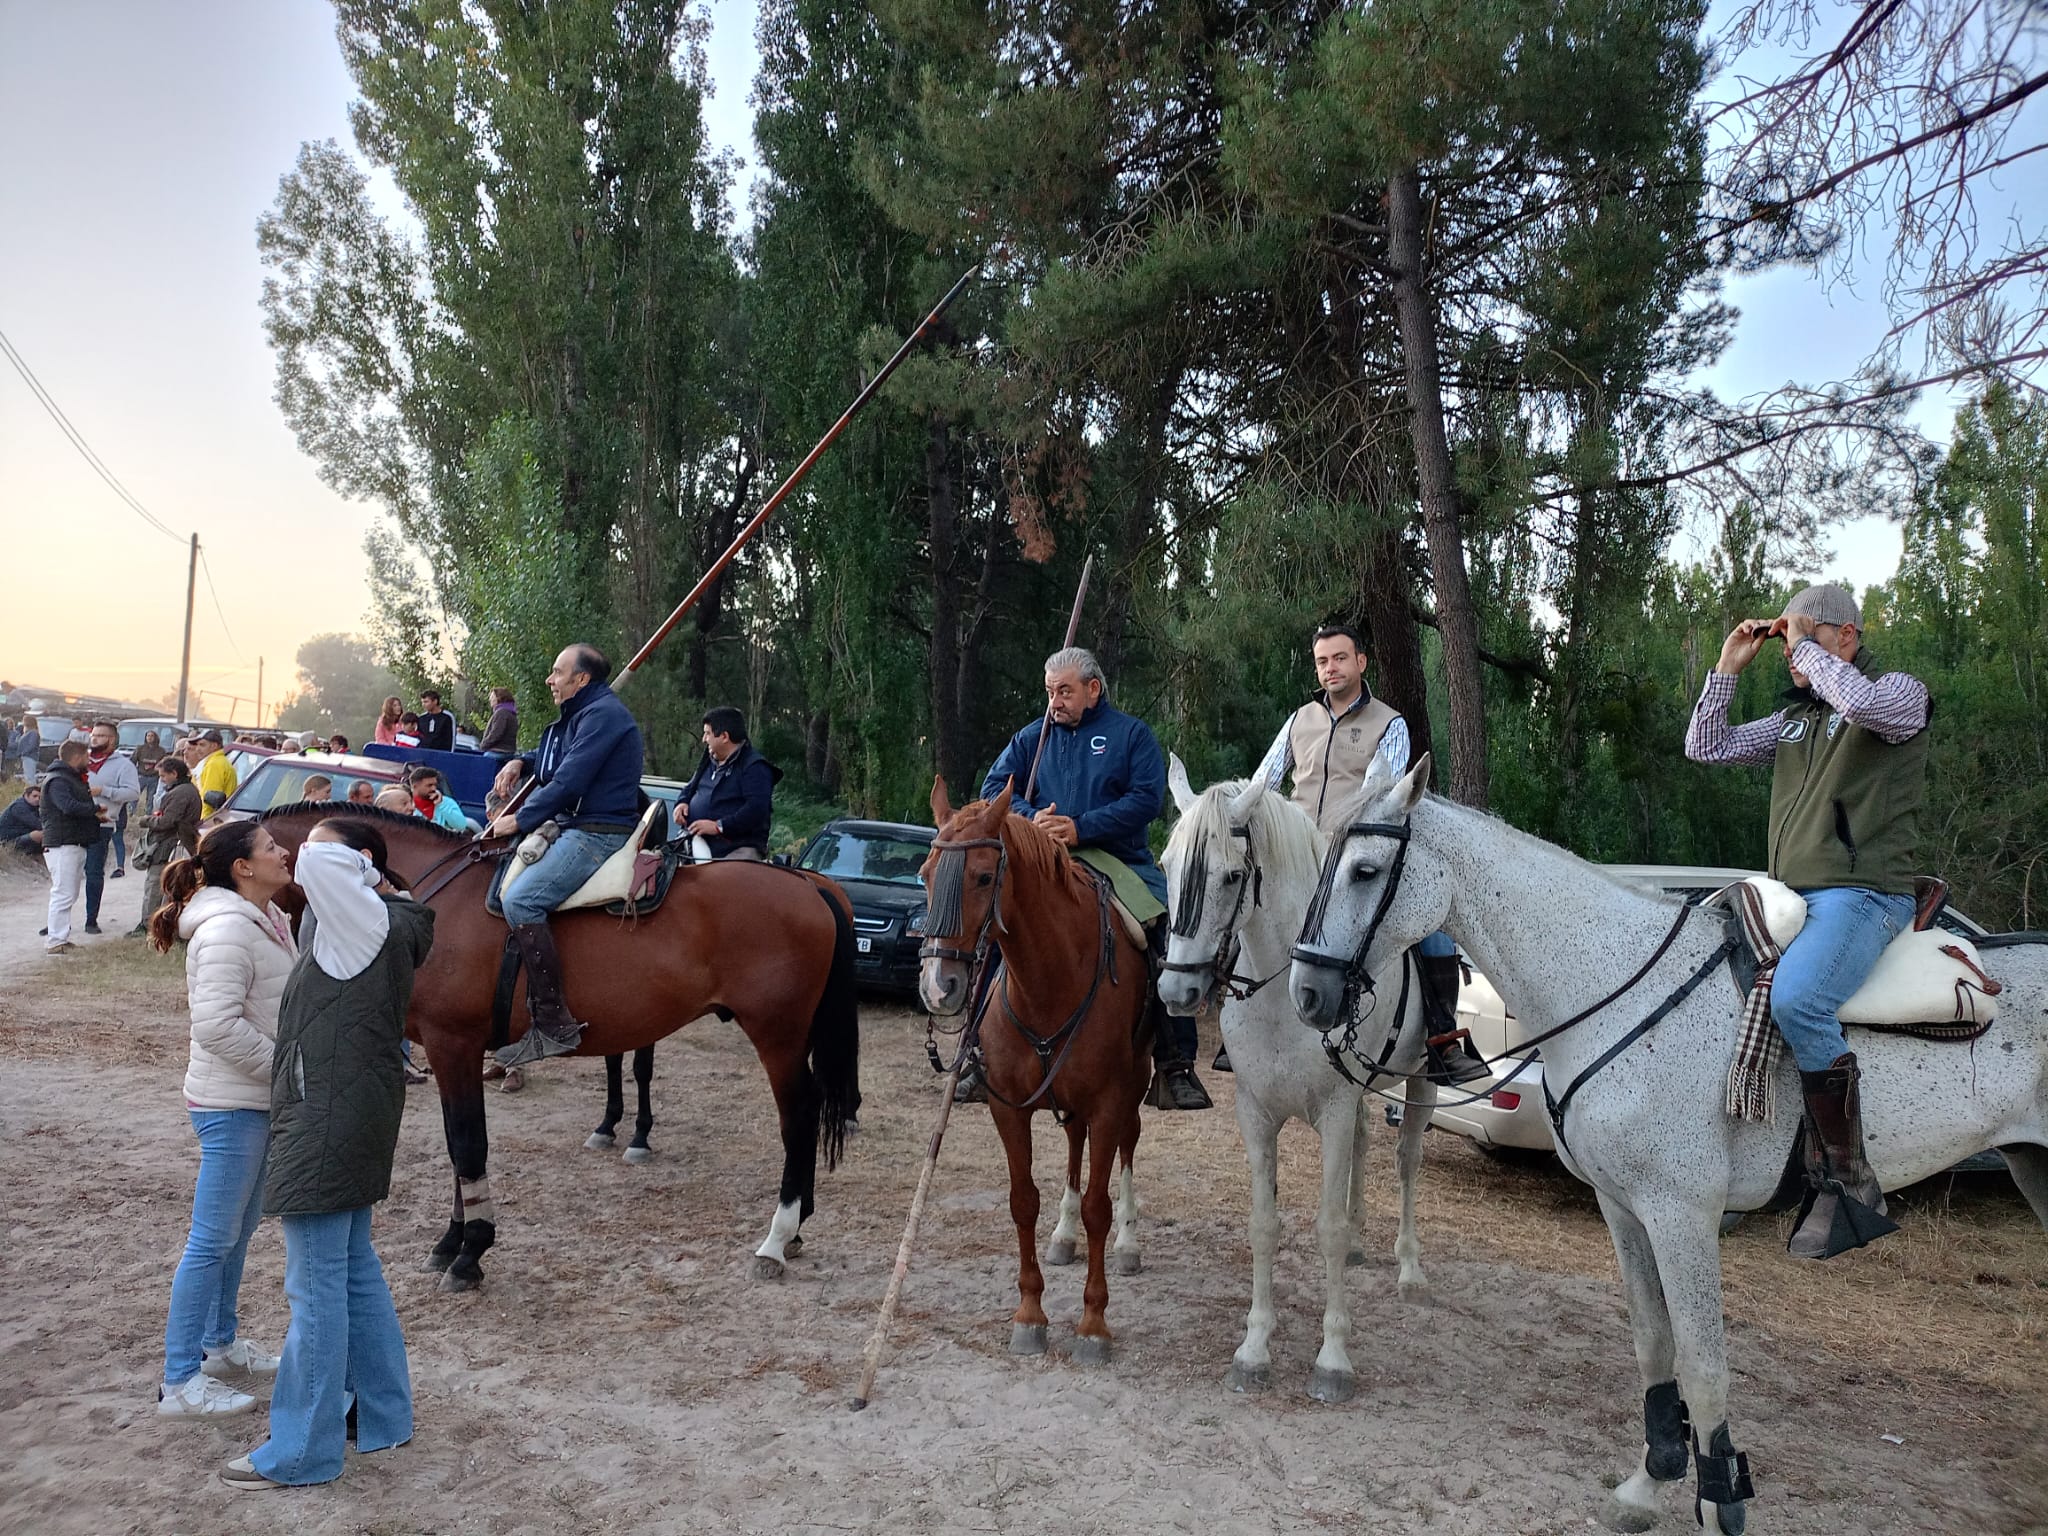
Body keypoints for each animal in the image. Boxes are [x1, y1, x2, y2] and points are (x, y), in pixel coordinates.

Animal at [260, 811, 860, 1294]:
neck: (435, 899)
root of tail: (808, 884)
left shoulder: (453, 1044)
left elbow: (468, 1145)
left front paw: (471, 1252)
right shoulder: (453, 1052)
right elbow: (458, 1147)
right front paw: (452, 1240)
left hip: (778, 1035)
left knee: (798, 1117)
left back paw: (776, 1239)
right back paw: (798, 1226)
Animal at [921, 786, 1163, 1368]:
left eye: (984, 876)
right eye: (924, 873)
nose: (939, 986)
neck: (1050, 981)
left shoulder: (1109, 1102)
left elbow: (1100, 1205)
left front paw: (1094, 1324)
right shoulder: (1007, 1107)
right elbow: (1022, 1200)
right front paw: (1029, 1315)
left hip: (1134, 1086)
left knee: (1127, 1147)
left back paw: (1128, 1245)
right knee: (1074, 1144)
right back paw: (1063, 1235)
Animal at [1163, 757, 1433, 1409]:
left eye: (1232, 876)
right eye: (1166, 867)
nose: (1176, 990)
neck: (1285, 994)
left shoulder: (1333, 1108)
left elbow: (1327, 1229)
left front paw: (1333, 1360)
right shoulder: (1256, 1113)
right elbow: (1265, 1225)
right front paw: (1254, 1348)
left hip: (1422, 1081)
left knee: (1407, 1160)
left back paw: (1409, 1270)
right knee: (1365, 1146)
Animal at [1294, 757, 2048, 1536]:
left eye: (1365, 870)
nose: (1308, 992)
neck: (1612, 986)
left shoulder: (1683, 1214)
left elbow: (1705, 1364)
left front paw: (1722, 1501)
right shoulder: (1624, 1208)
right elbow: (1654, 1343)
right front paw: (1651, 1479)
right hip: (2033, 1166)